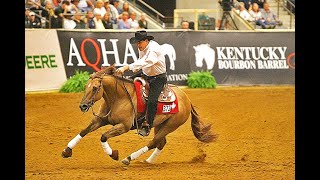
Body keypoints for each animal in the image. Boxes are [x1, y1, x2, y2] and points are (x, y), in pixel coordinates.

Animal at [62, 65, 218, 165]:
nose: (83, 106)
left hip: (171, 125)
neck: (118, 97)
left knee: (154, 142)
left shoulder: (123, 126)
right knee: (161, 143)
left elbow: (103, 136)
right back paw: (148, 161)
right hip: (159, 124)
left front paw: (113, 154)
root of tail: (187, 99)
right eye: (85, 87)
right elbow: (84, 131)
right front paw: (66, 151)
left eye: (95, 88)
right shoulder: (100, 120)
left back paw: (129, 158)